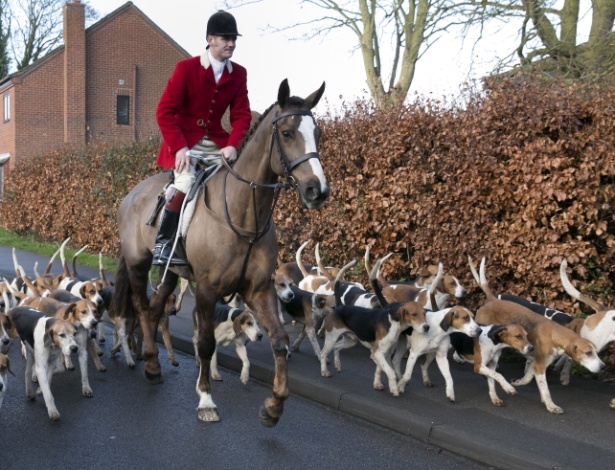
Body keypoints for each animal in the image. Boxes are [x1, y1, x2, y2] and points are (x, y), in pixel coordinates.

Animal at [110, 81, 332, 426]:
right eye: (286, 133)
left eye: (317, 133)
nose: (317, 191)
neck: (246, 214)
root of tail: (132, 193)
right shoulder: (207, 289)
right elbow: (205, 343)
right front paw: (205, 399)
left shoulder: (259, 290)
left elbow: (279, 340)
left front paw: (274, 405)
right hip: (138, 264)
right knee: (142, 307)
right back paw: (151, 364)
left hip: (170, 273)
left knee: (155, 309)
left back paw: (152, 363)